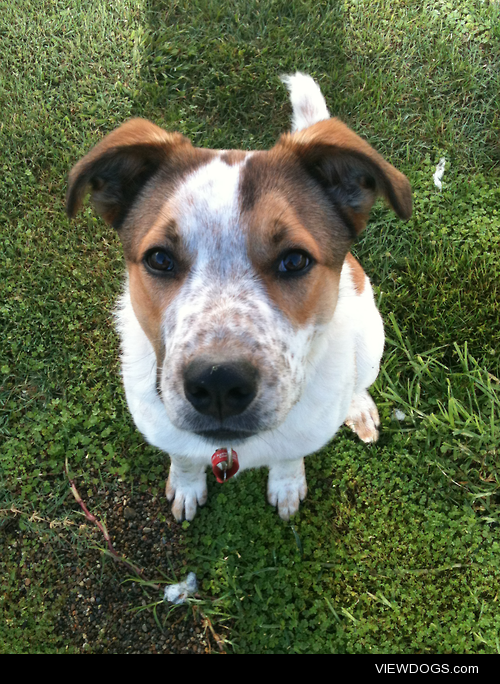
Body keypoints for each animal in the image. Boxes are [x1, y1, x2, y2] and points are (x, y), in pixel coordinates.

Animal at [65, 73, 410, 520]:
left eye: (294, 260)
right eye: (159, 258)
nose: (218, 382)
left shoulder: (302, 433)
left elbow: (288, 457)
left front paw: (286, 485)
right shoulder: (167, 430)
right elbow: (184, 457)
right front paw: (187, 485)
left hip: (371, 337)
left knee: (359, 379)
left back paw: (358, 406)